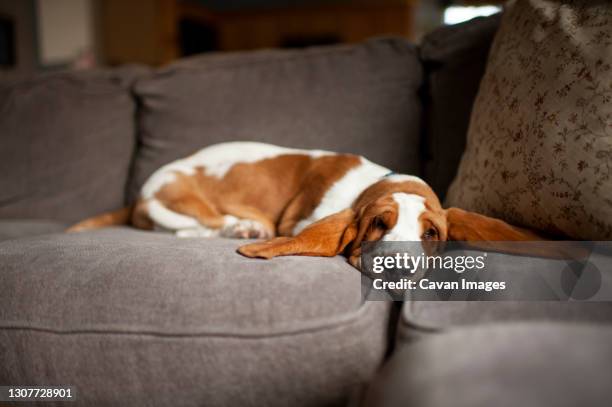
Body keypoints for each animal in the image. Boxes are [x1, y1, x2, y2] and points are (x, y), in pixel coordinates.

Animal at [69, 142, 548, 270]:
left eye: (431, 234)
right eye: (379, 223)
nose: (397, 267)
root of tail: (141, 193)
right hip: (179, 203)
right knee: (197, 227)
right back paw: (243, 228)